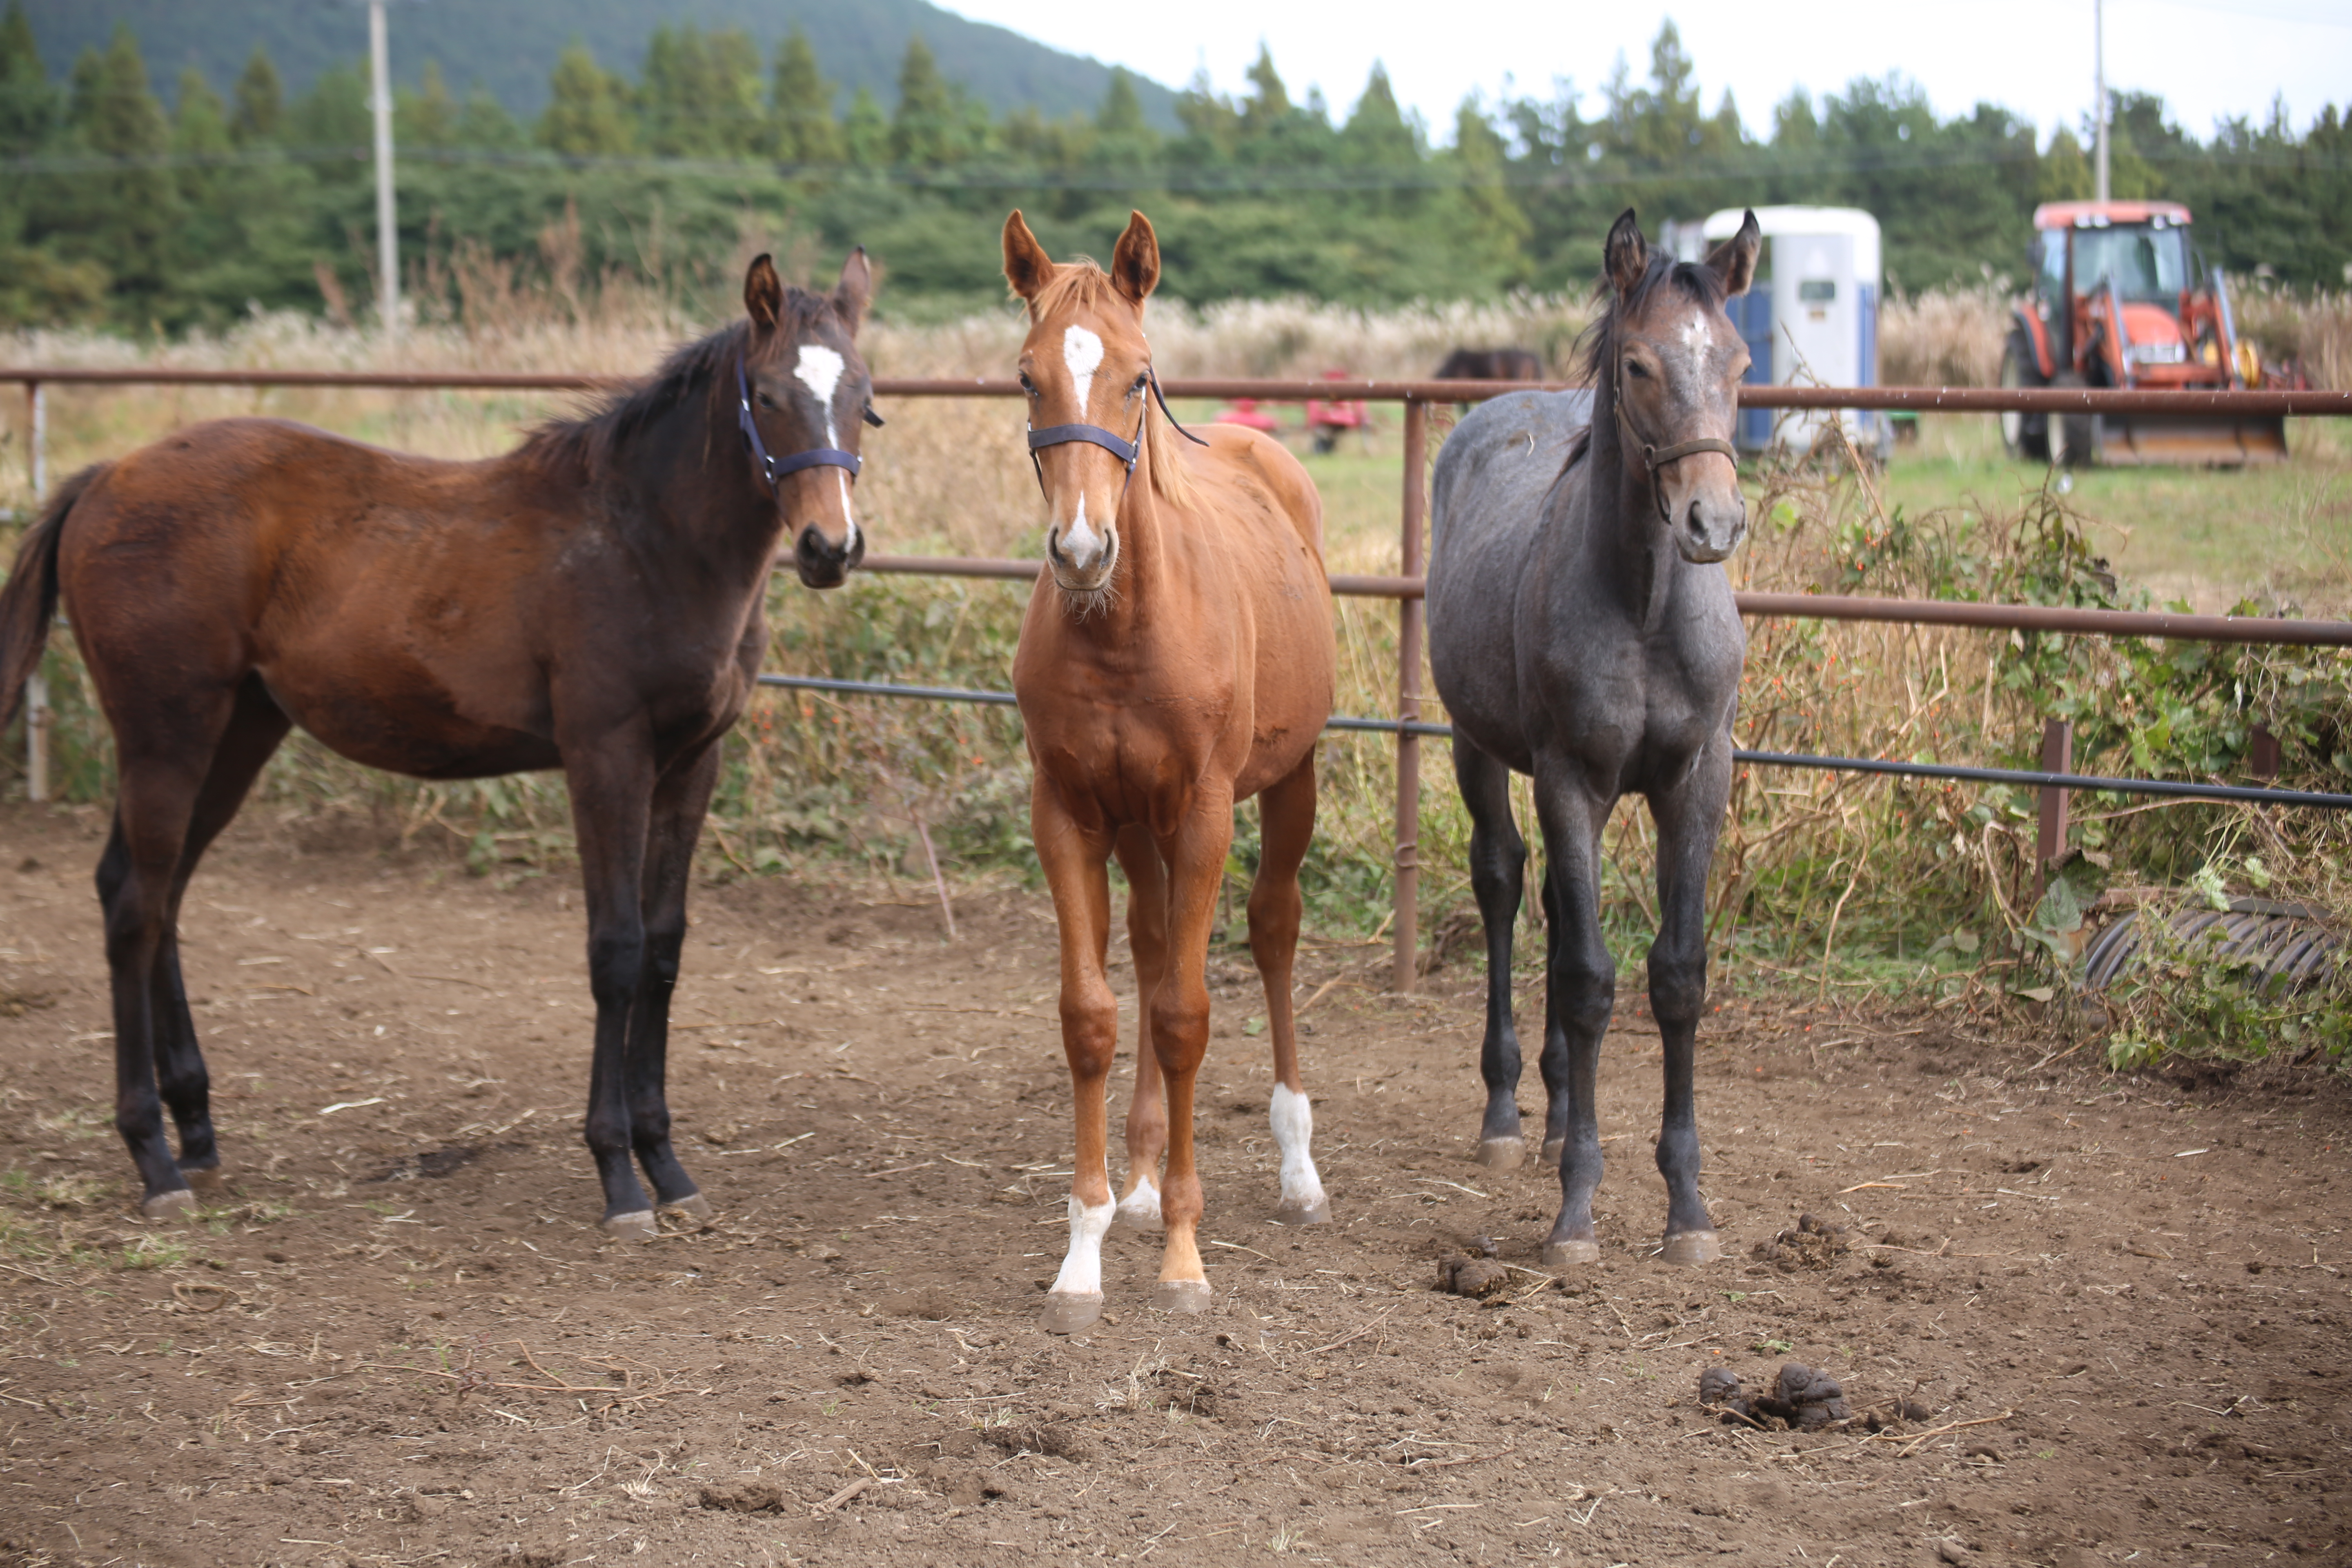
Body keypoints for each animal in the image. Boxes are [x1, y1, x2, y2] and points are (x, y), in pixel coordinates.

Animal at [0, 255, 880, 1241]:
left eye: (864, 395)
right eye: (767, 395)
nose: (831, 548)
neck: (645, 540)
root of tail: (105, 476)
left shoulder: (692, 763)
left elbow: (662, 951)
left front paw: (668, 1165)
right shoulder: (605, 756)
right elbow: (613, 951)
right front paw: (618, 1175)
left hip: (236, 734)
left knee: (159, 898)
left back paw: (196, 1129)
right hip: (166, 734)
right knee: (134, 908)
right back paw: (153, 1157)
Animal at [1002, 212, 1345, 1335]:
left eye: (1138, 378)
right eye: (1027, 378)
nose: (1080, 551)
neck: (1123, 629)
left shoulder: (1200, 812)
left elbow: (1190, 1014)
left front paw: (1186, 1259)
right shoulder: (1070, 811)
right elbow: (1097, 1017)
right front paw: (1086, 1250)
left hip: (1287, 783)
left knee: (1271, 932)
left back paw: (1296, 1169)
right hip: (1136, 821)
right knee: (1153, 954)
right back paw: (1144, 1182)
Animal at [1421, 208, 1759, 1269]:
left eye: (1738, 361)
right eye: (1639, 365)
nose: (1710, 521)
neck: (1642, 604)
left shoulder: (1695, 778)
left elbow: (1674, 976)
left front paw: (1687, 1209)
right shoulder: (1569, 777)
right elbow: (1584, 980)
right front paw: (1576, 1212)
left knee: (1561, 919)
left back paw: (1564, 1110)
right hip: (1477, 747)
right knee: (1503, 885)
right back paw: (1508, 1115)